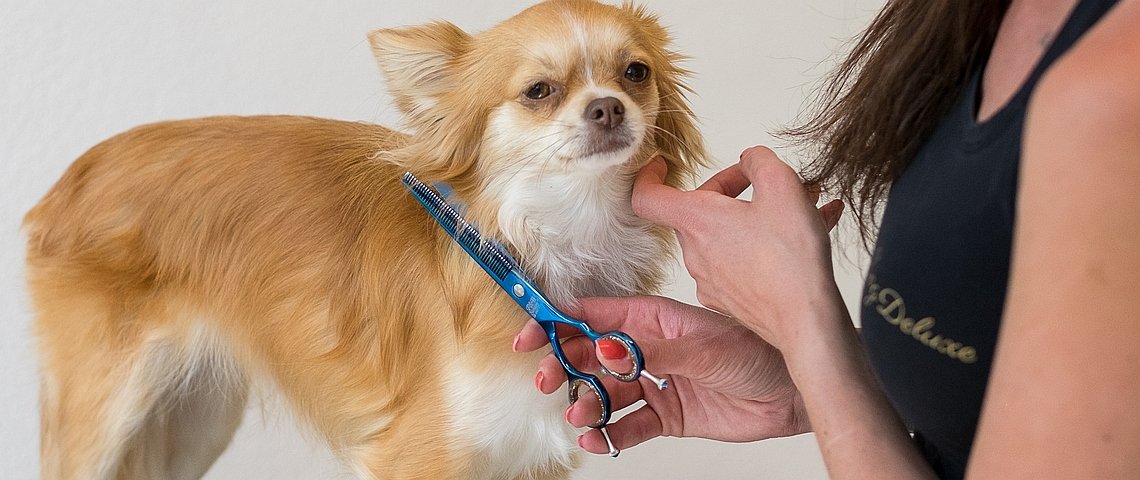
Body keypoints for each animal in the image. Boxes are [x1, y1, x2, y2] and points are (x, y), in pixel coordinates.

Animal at [24, 1, 702, 476]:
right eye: (539, 91)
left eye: (636, 73)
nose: (608, 107)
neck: (548, 237)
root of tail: (72, 178)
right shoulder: (414, 455)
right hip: (103, 416)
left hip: (190, 420)